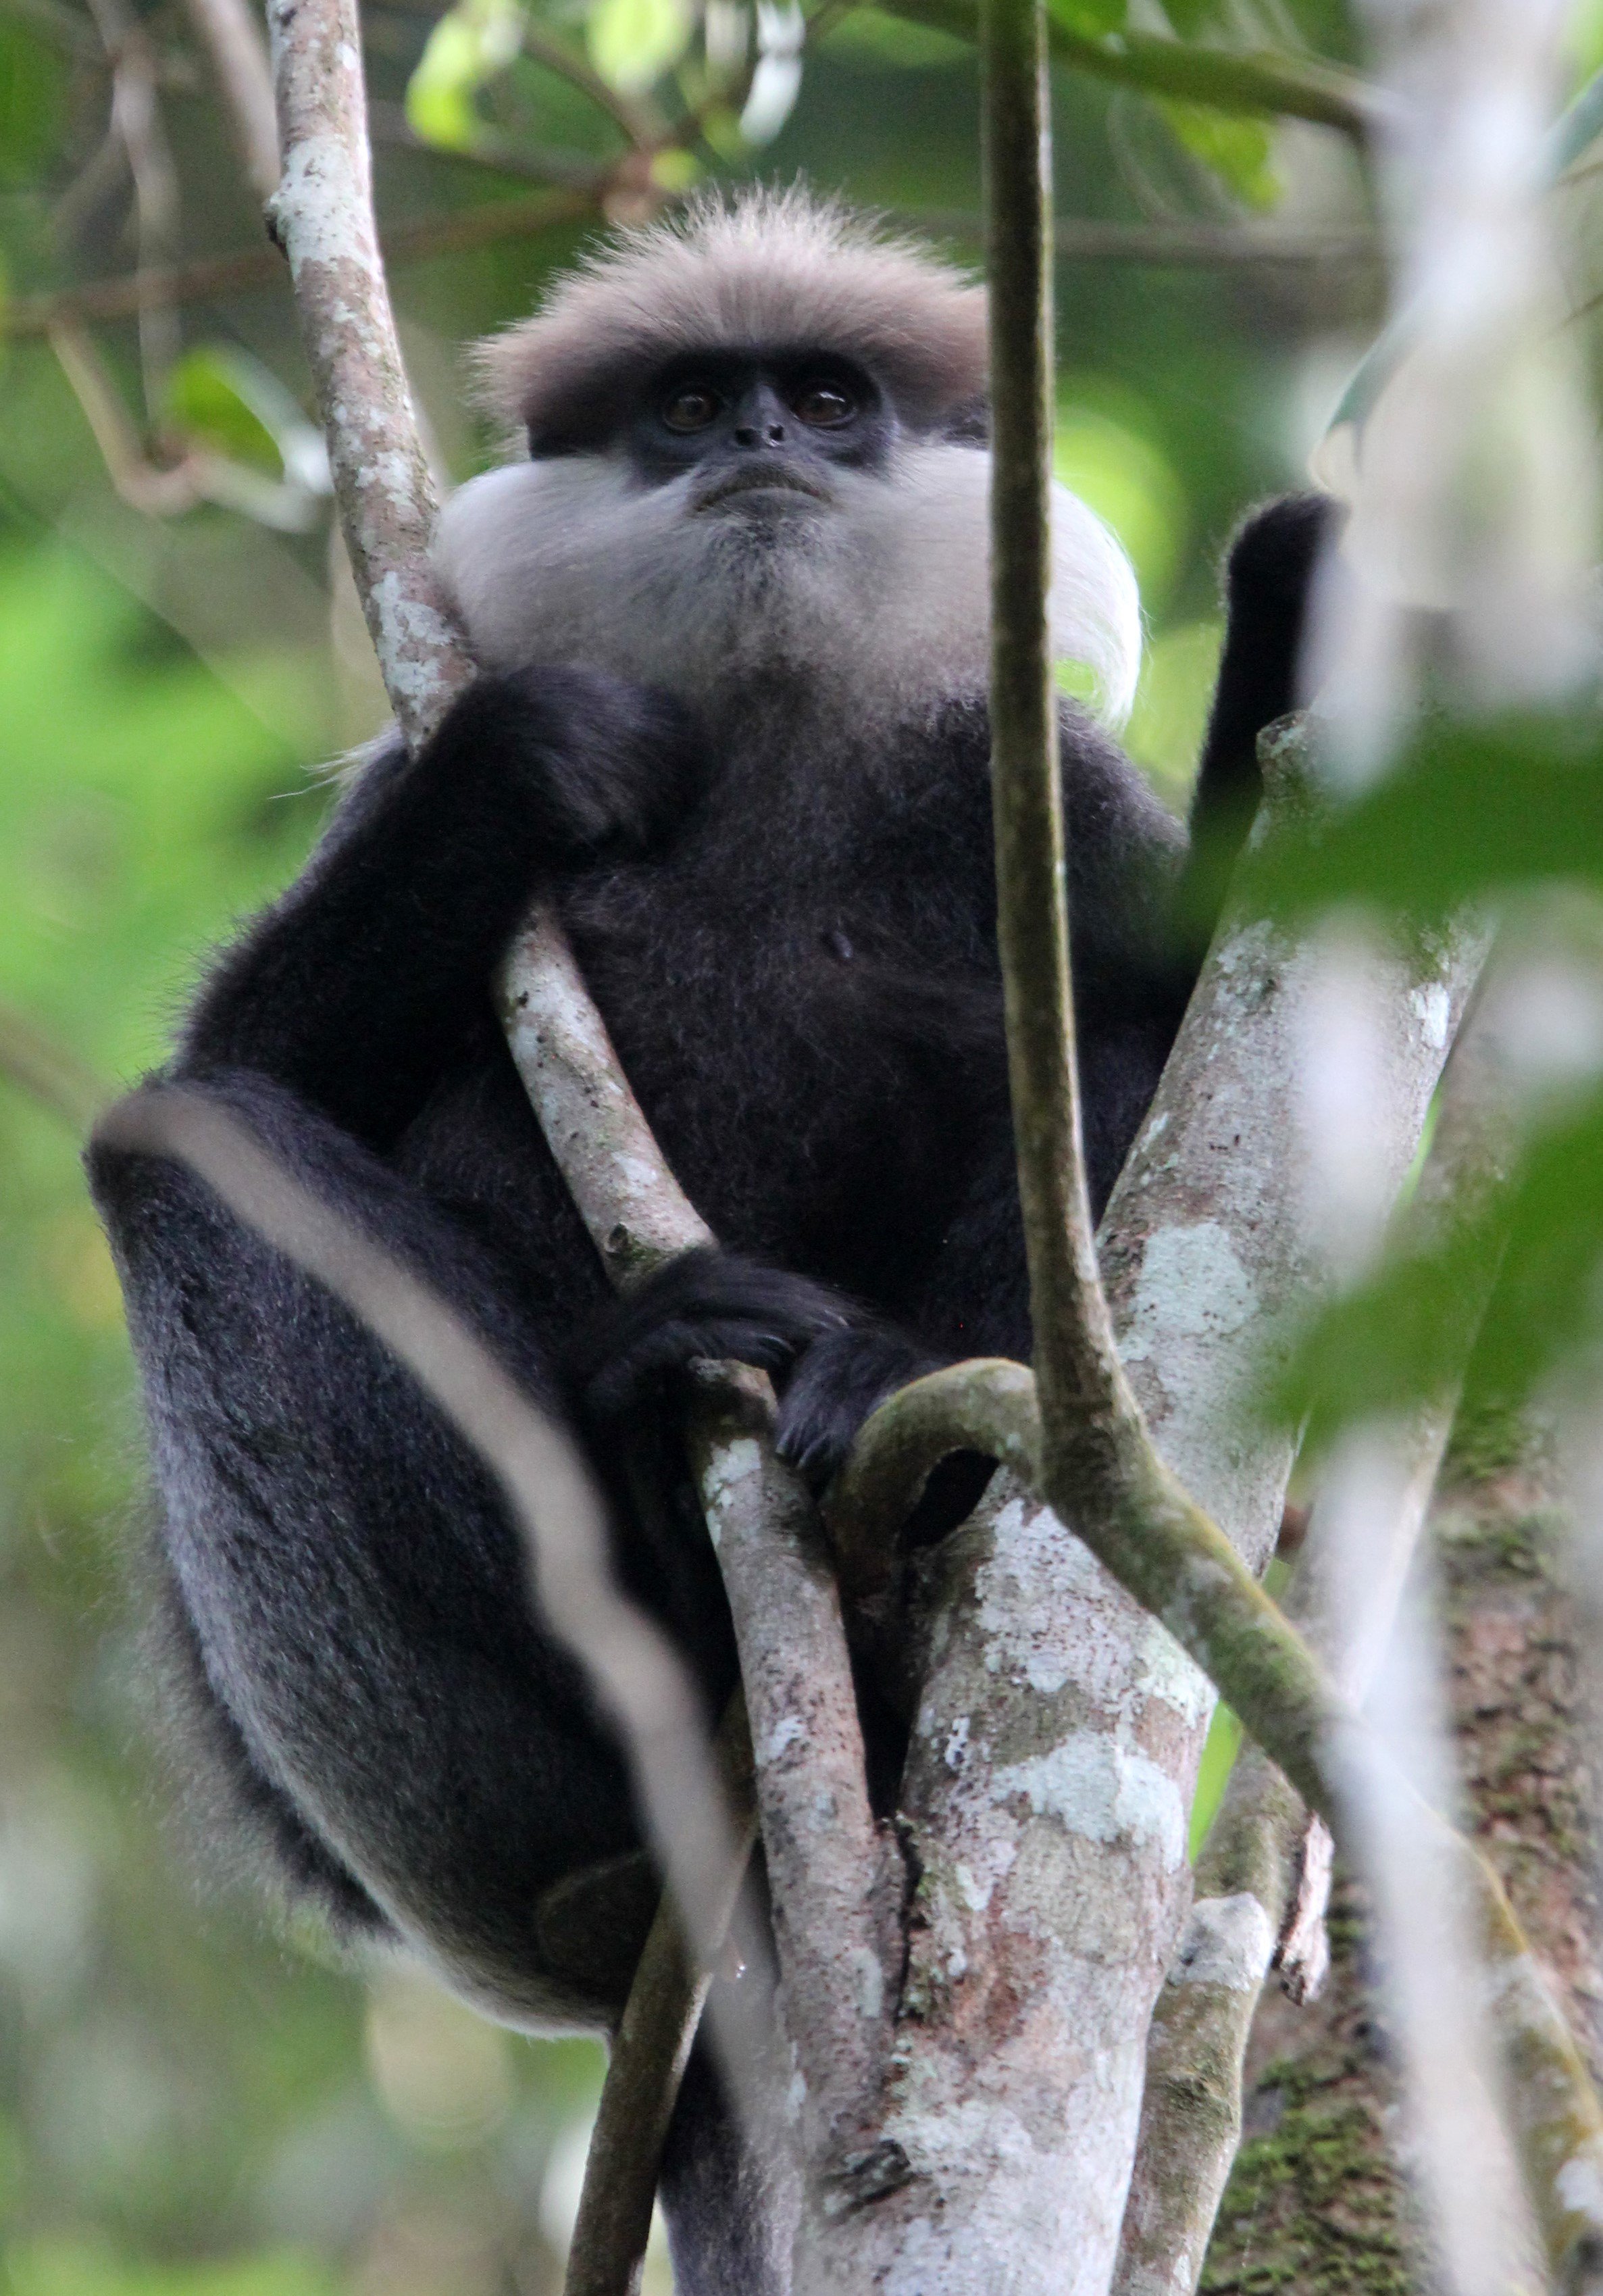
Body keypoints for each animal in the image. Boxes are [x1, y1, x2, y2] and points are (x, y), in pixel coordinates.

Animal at [86, 188, 1331, 2292]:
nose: (755, 442)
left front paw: (1297, 604)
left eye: (823, 400)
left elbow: (1207, 1064)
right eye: (687, 406)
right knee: (184, 1153)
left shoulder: (1038, 794)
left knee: (1103, 1073)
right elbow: (238, 1061)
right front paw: (531, 756)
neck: (773, 737)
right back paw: (642, 1474)